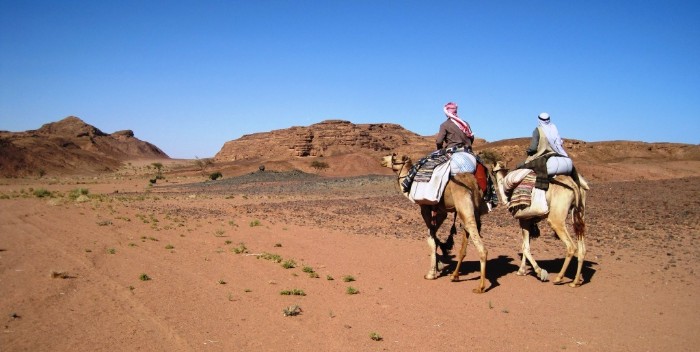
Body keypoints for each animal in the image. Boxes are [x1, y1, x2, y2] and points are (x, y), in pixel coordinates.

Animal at [380, 154, 490, 294]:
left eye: (395, 156)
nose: (382, 159)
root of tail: (473, 184)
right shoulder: (442, 210)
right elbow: (434, 234)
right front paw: (441, 259)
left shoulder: (425, 207)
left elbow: (430, 238)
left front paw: (431, 274)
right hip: (474, 209)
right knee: (466, 238)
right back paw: (454, 275)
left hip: (464, 206)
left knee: (479, 242)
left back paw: (480, 287)